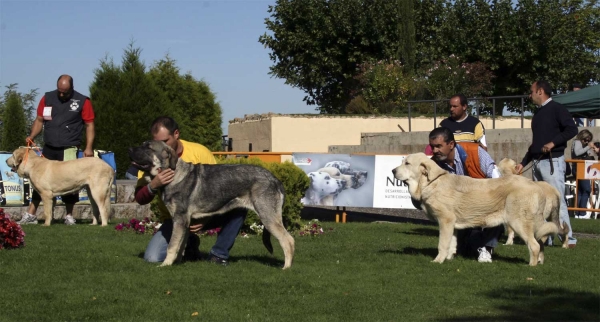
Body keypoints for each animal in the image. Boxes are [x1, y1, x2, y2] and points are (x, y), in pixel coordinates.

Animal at [127, 141, 296, 270]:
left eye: (148, 147)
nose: (129, 149)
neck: (173, 174)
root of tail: (275, 179)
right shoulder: (184, 223)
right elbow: (181, 246)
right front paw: (178, 262)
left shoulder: (180, 220)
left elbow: (172, 245)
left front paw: (166, 265)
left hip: (268, 218)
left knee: (288, 240)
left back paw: (286, 267)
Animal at [394, 153, 568, 266]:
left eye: (407, 163)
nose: (393, 171)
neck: (432, 182)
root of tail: (537, 187)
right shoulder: (452, 225)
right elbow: (452, 243)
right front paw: (449, 259)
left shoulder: (445, 221)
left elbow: (442, 244)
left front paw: (437, 261)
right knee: (541, 243)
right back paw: (540, 262)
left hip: (518, 223)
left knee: (535, 245)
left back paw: (531, 266)